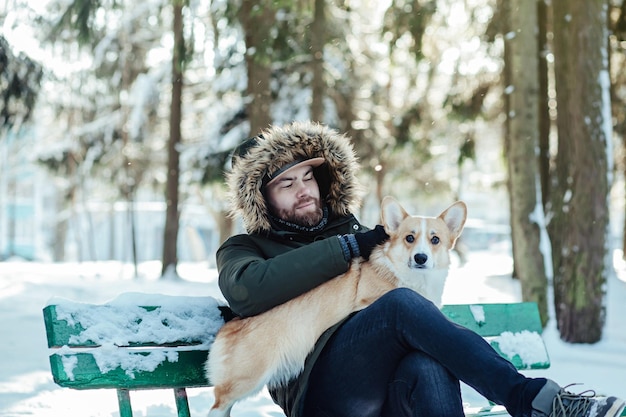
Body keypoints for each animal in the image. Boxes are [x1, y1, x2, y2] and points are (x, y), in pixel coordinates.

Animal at [205, 196, 464, 416]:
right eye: (409, 238)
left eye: (435, 240)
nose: (421, 258)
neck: (413, 279)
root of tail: (232, 324)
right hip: (247, 377)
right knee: (219, 403)